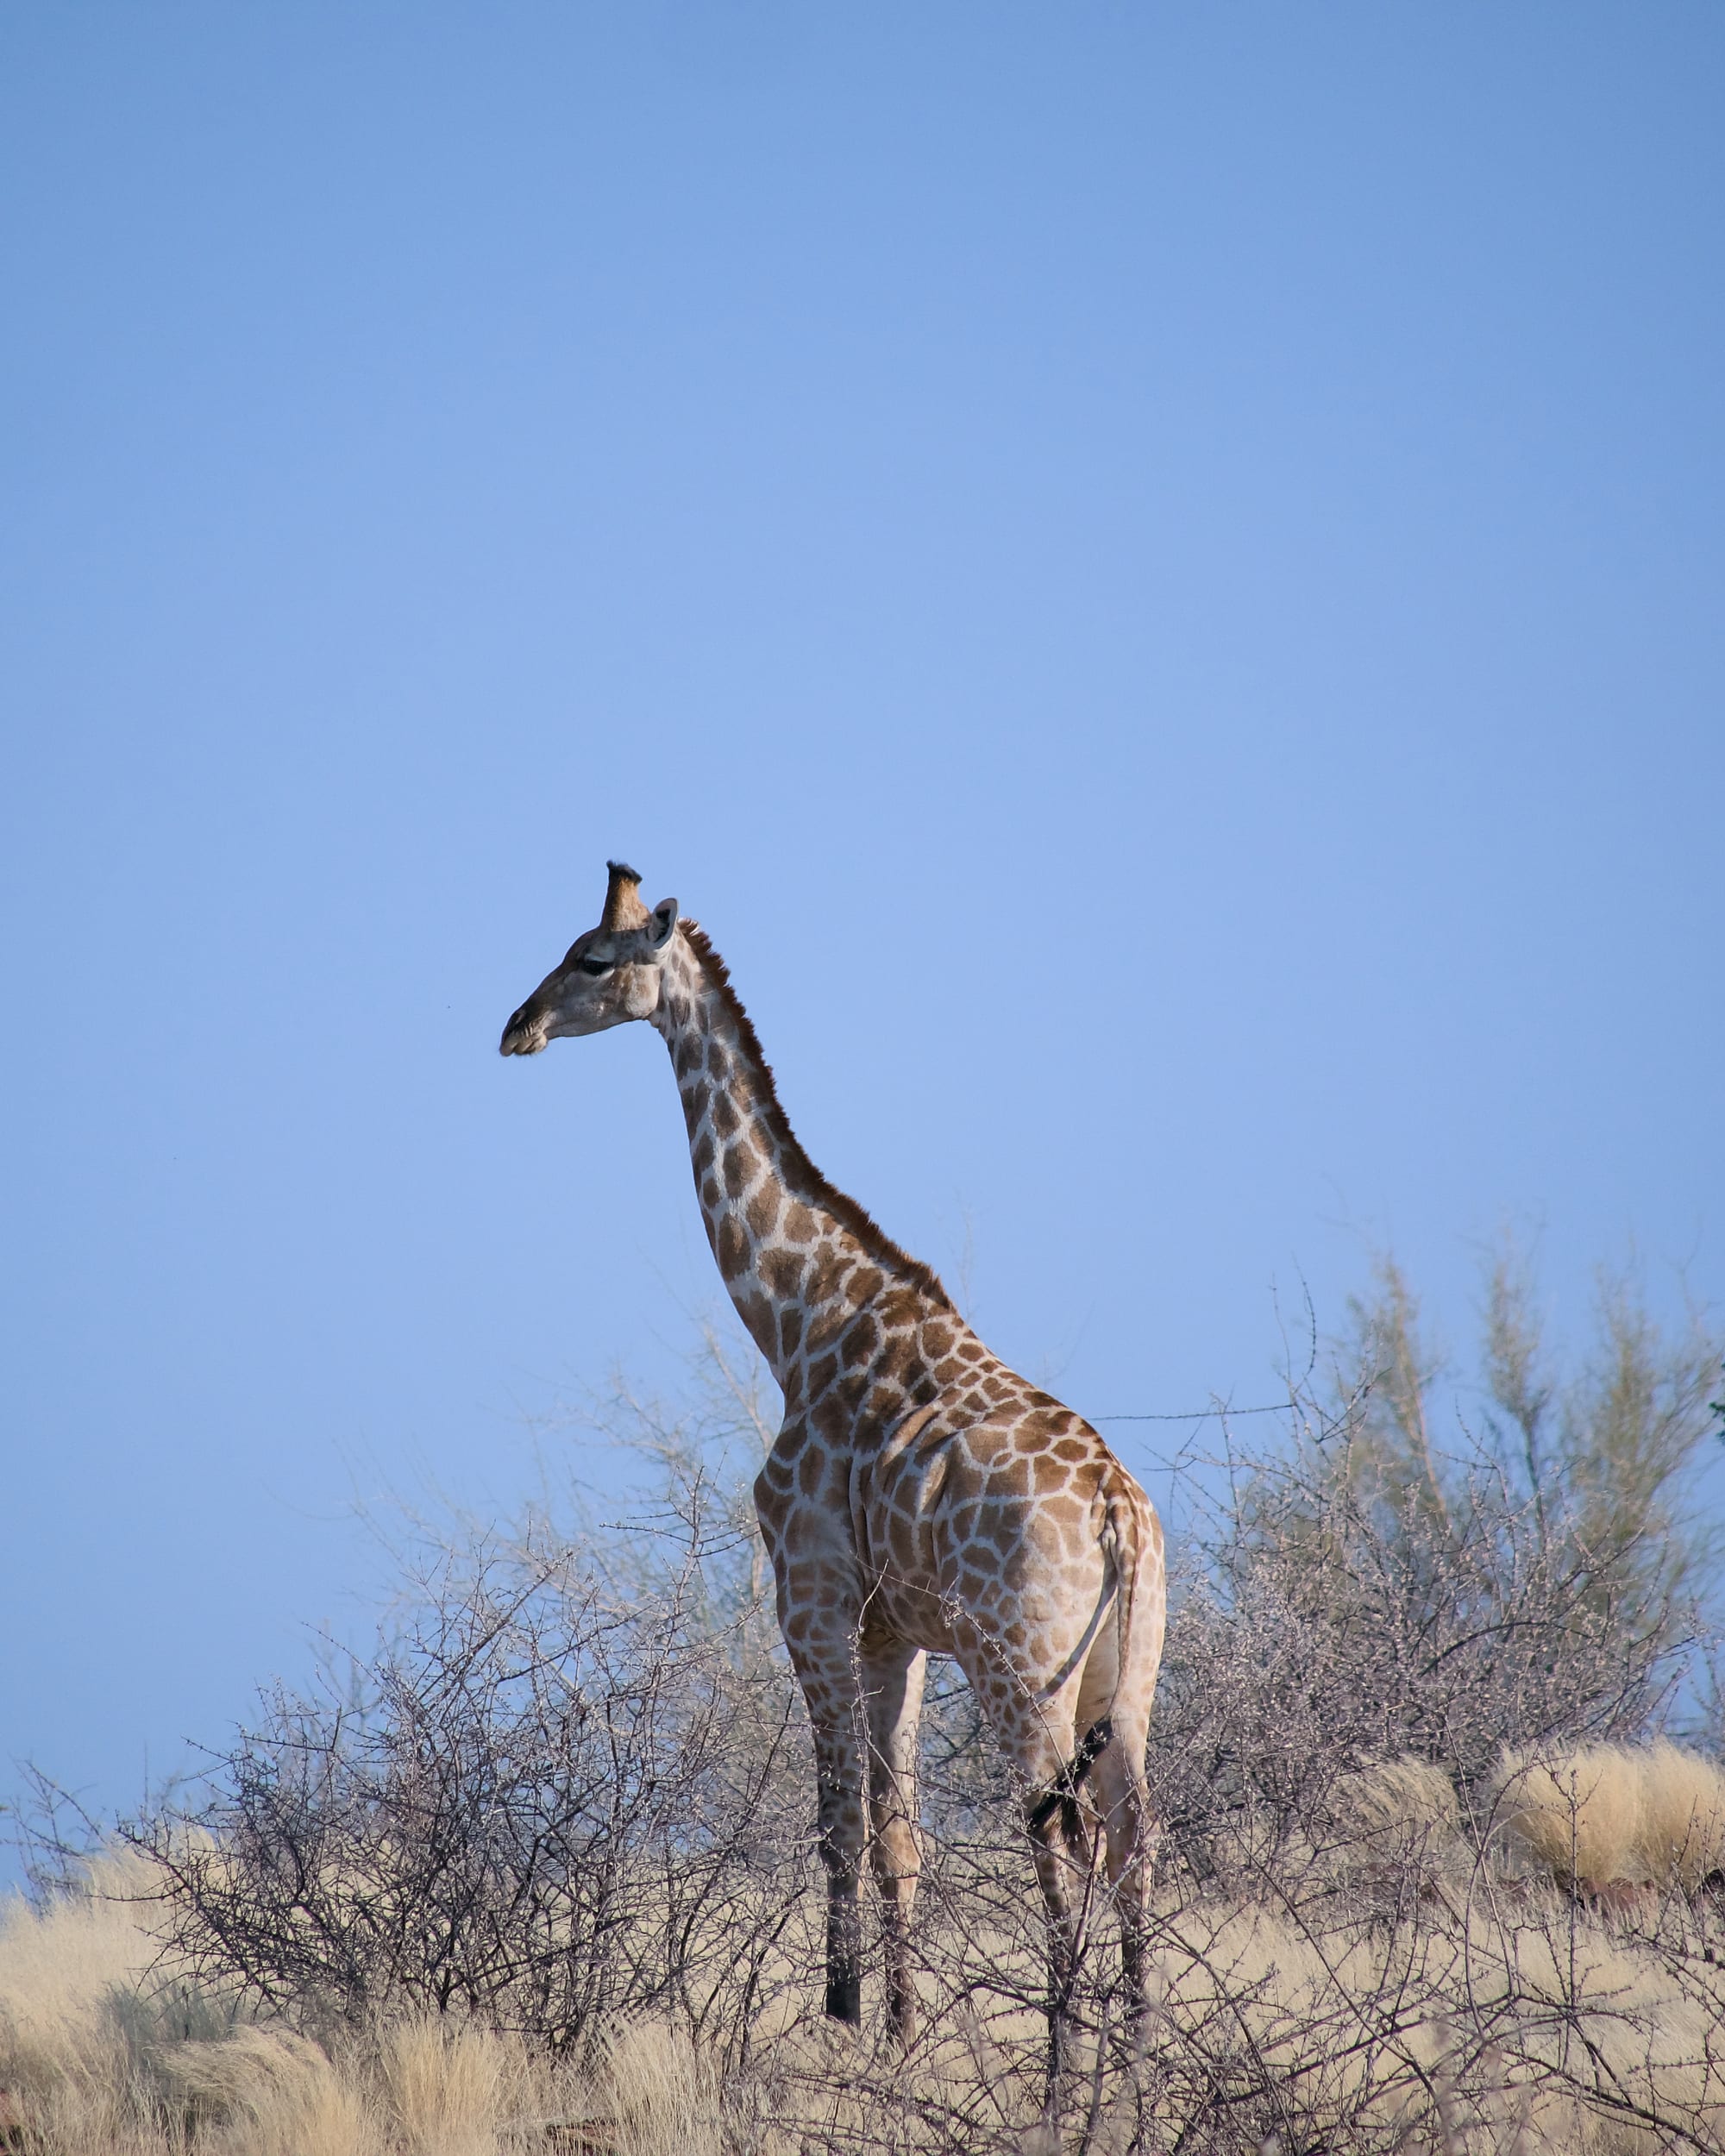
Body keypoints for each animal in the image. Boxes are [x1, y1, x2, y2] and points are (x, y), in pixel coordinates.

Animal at [500, 863, 1167, 2055]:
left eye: (589, 958)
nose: (513, 1028)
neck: (797, 1321)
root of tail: (1114, 1514)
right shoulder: (892, 1634)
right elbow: (897, 1833)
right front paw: (901, 2026)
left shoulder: (808, 1598)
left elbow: (832, 1823)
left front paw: (843, 2017)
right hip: (1126, 1674)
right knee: (1132, 1836)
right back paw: (1136, 2050)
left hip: (1020, 1666)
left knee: (1058, 1835)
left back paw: (1064, 2056)